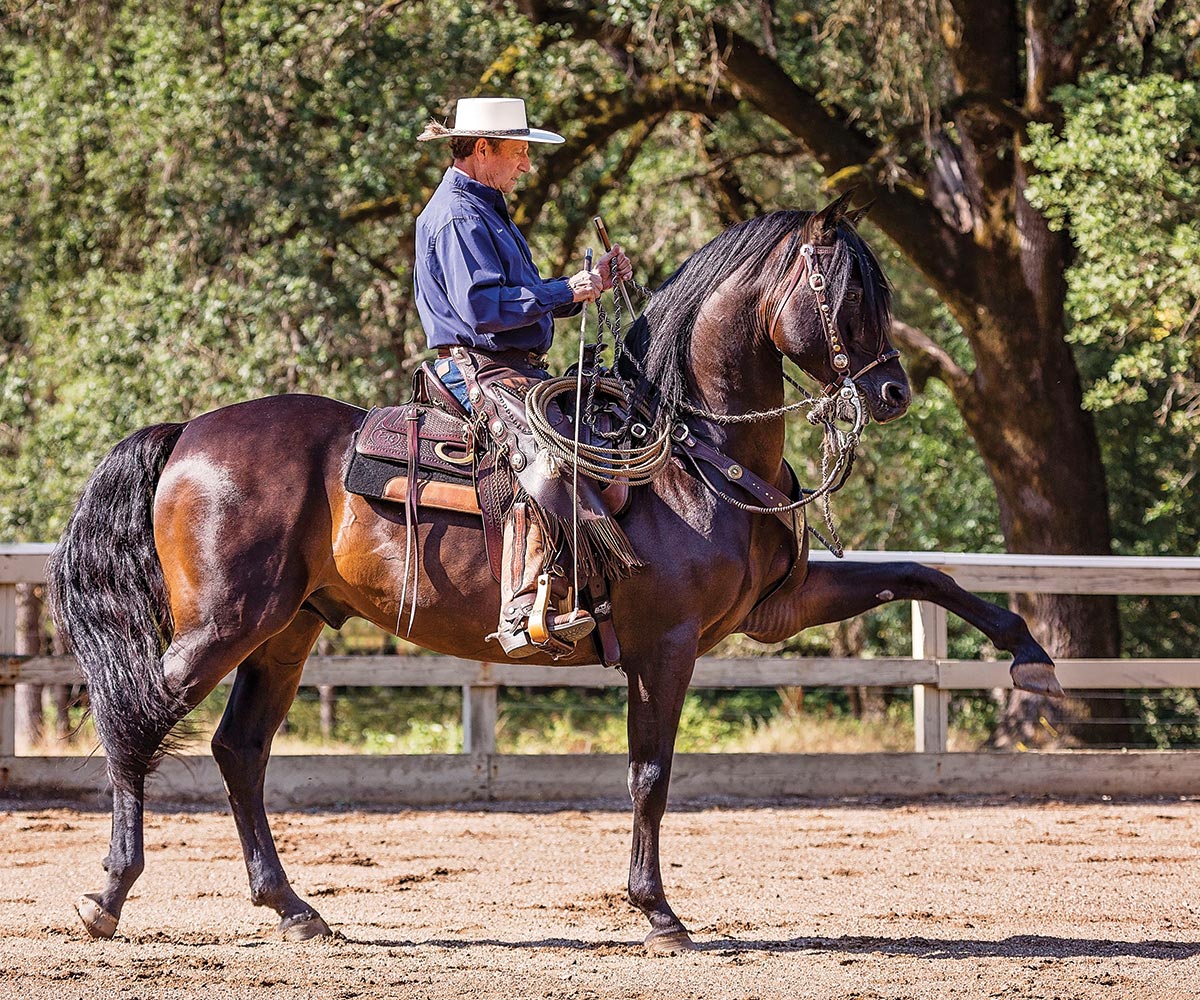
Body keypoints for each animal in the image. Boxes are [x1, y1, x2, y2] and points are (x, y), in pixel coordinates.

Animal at [46, 196, 1060, 950]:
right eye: (842, 290)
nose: (892, 392)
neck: (688, 449)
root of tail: (189, 431)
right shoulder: (666, 645)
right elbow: (650, 773)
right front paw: (658, 913)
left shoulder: (778, 608)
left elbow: (926, 576)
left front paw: (1030, 655)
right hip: (223, 624)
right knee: (134, 722)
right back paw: (106, 897)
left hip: (286, 632)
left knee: (238, 752)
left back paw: (293, 909)